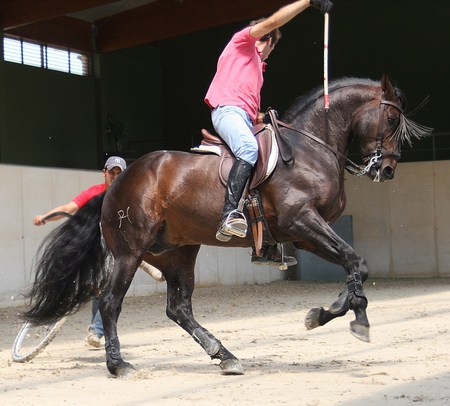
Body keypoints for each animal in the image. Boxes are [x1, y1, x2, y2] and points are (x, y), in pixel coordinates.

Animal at [22, 75, 430, 378]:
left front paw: (331, 314)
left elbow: (355, 265)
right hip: (129, 252)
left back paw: (224, 355)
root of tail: (118, 182)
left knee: (178, 308)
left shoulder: (304, 235)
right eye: (392, 120)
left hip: (177, 253)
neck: (308, 148)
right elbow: (355, 261)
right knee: (110, 302)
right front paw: (351, 317)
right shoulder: (303, 222)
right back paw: (118, 364)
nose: (387, 169)